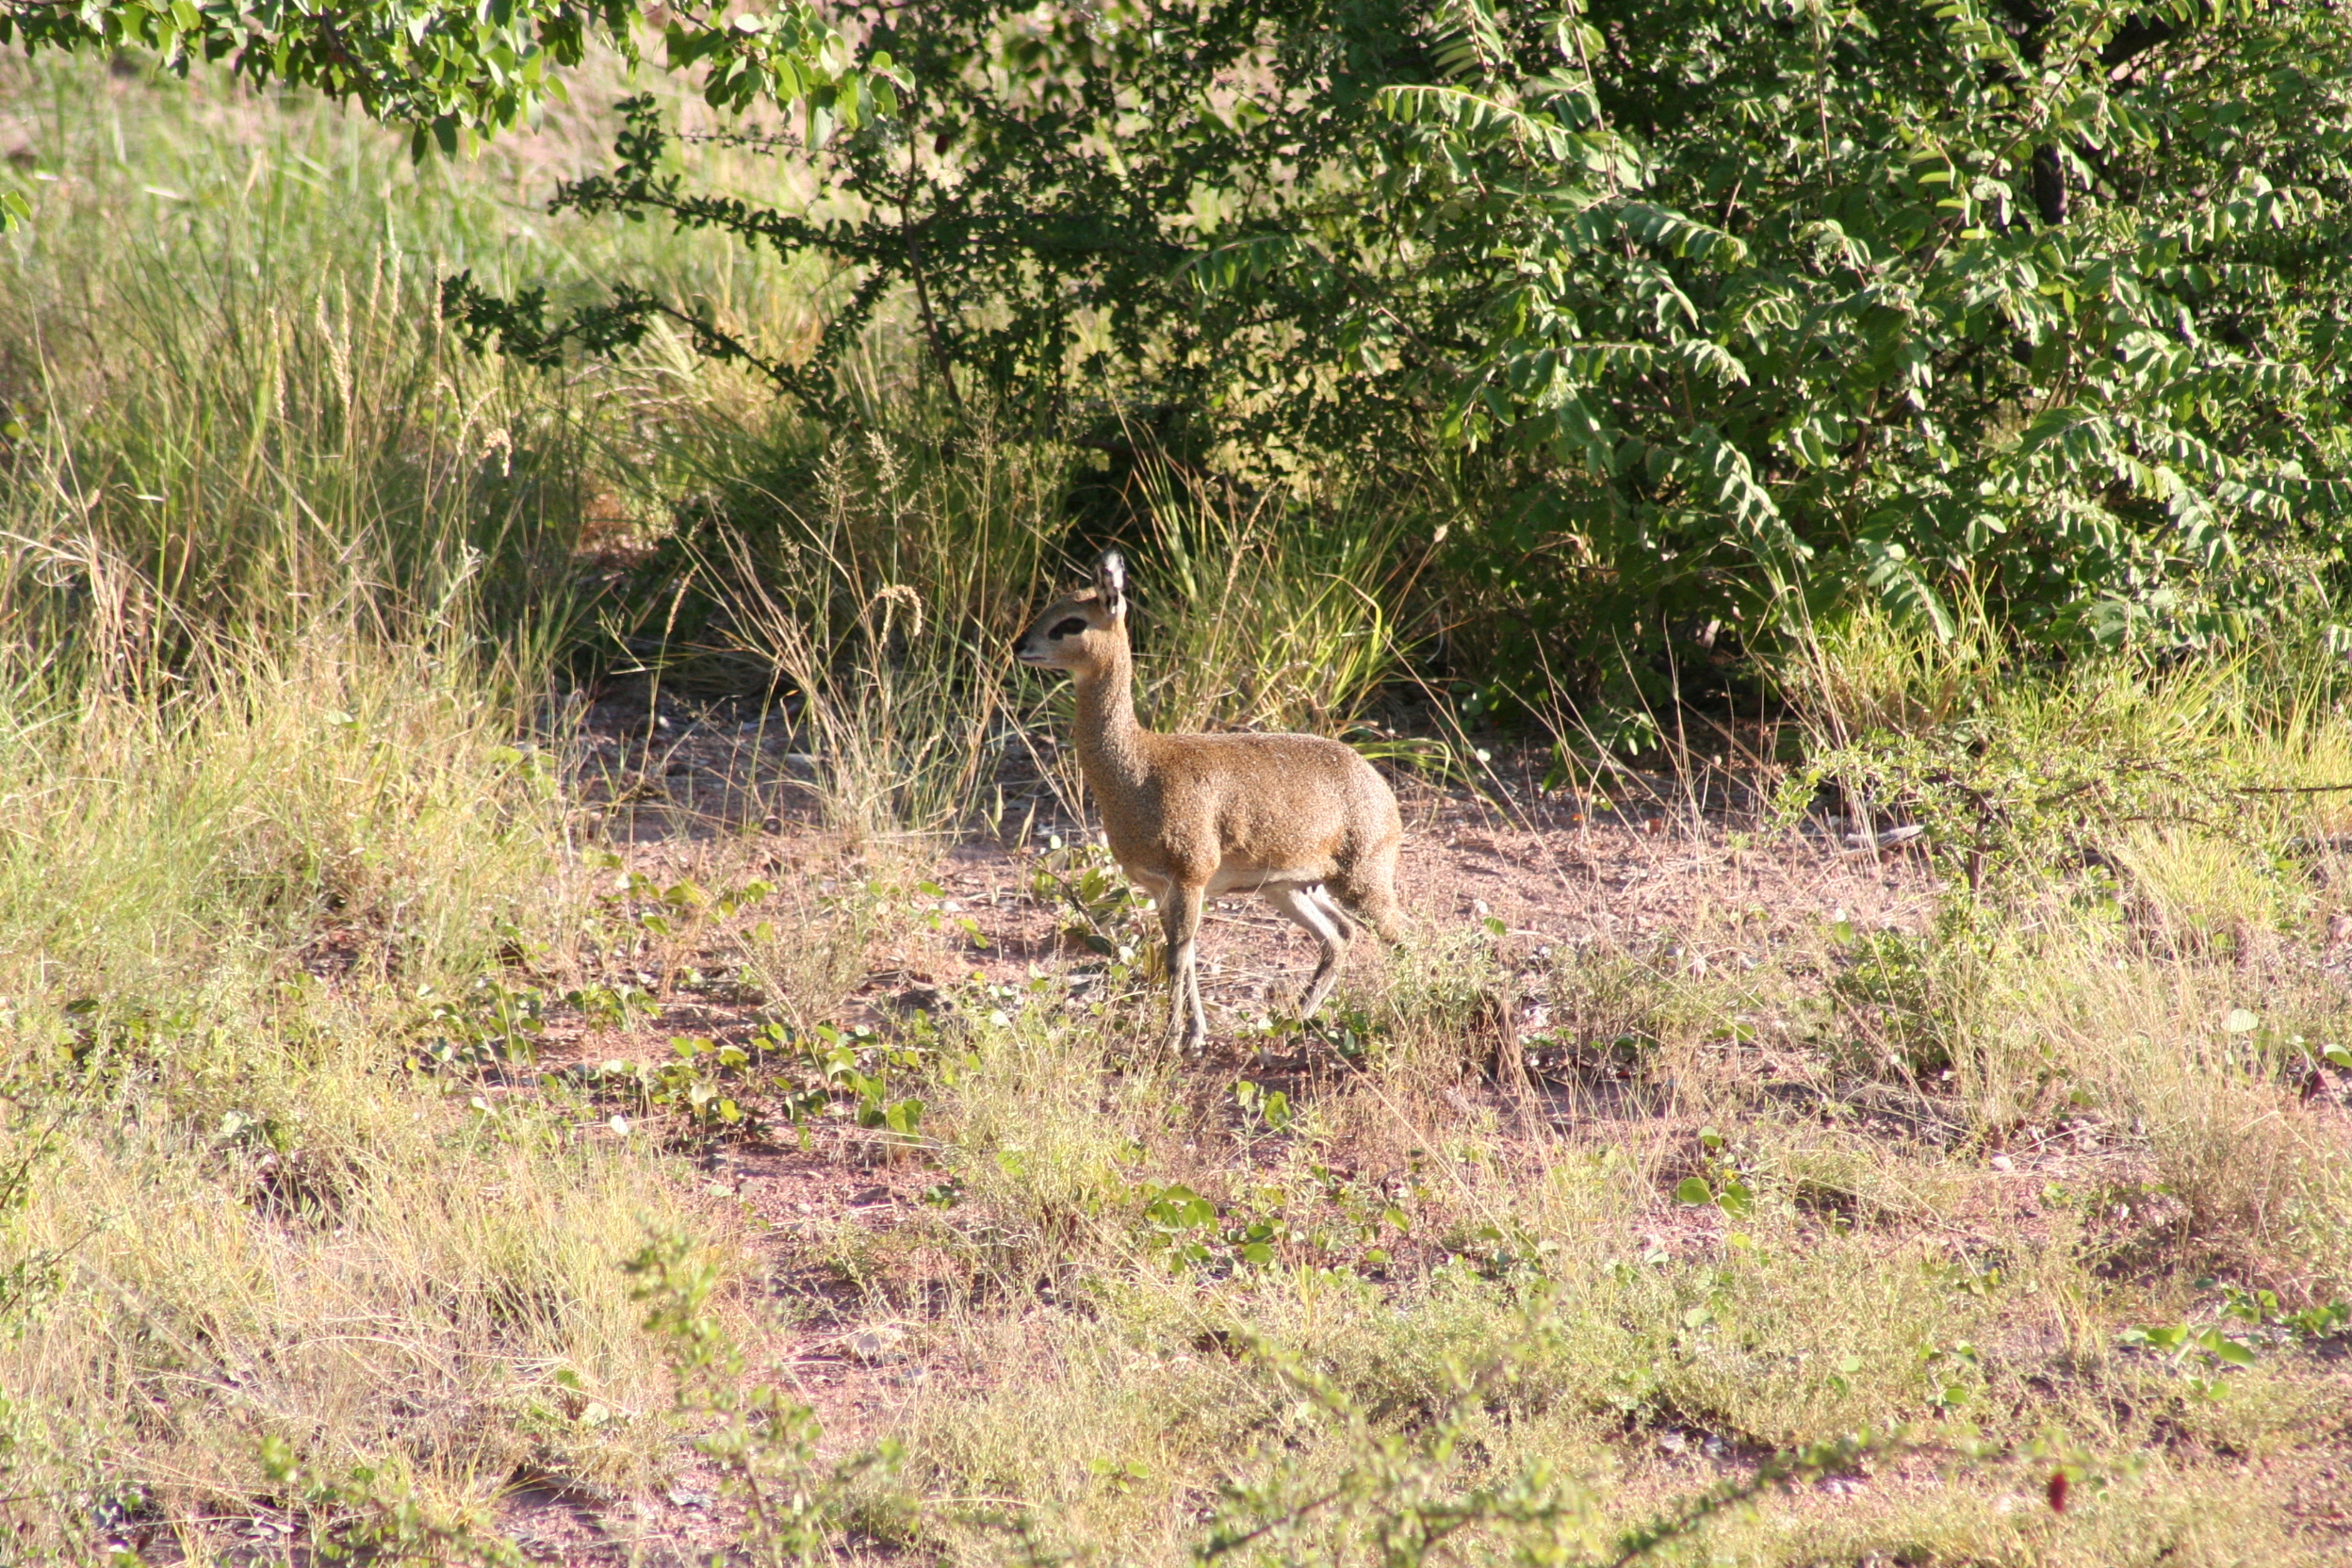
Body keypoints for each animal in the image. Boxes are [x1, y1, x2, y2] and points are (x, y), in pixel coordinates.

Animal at [1006, 552, 1392, 1053]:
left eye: (1071, 622)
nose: (1019, 645)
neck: (1139, 769)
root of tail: (1380, 786)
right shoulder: (1159, 887)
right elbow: (1184, 955)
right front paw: (1193, 1034)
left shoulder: (1190, 879)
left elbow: (1177, 957)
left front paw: (1172, 1040)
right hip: (1289, 888)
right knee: (1340, 936)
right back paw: (1294, 1021)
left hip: (1363, 883)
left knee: (1406, 937)